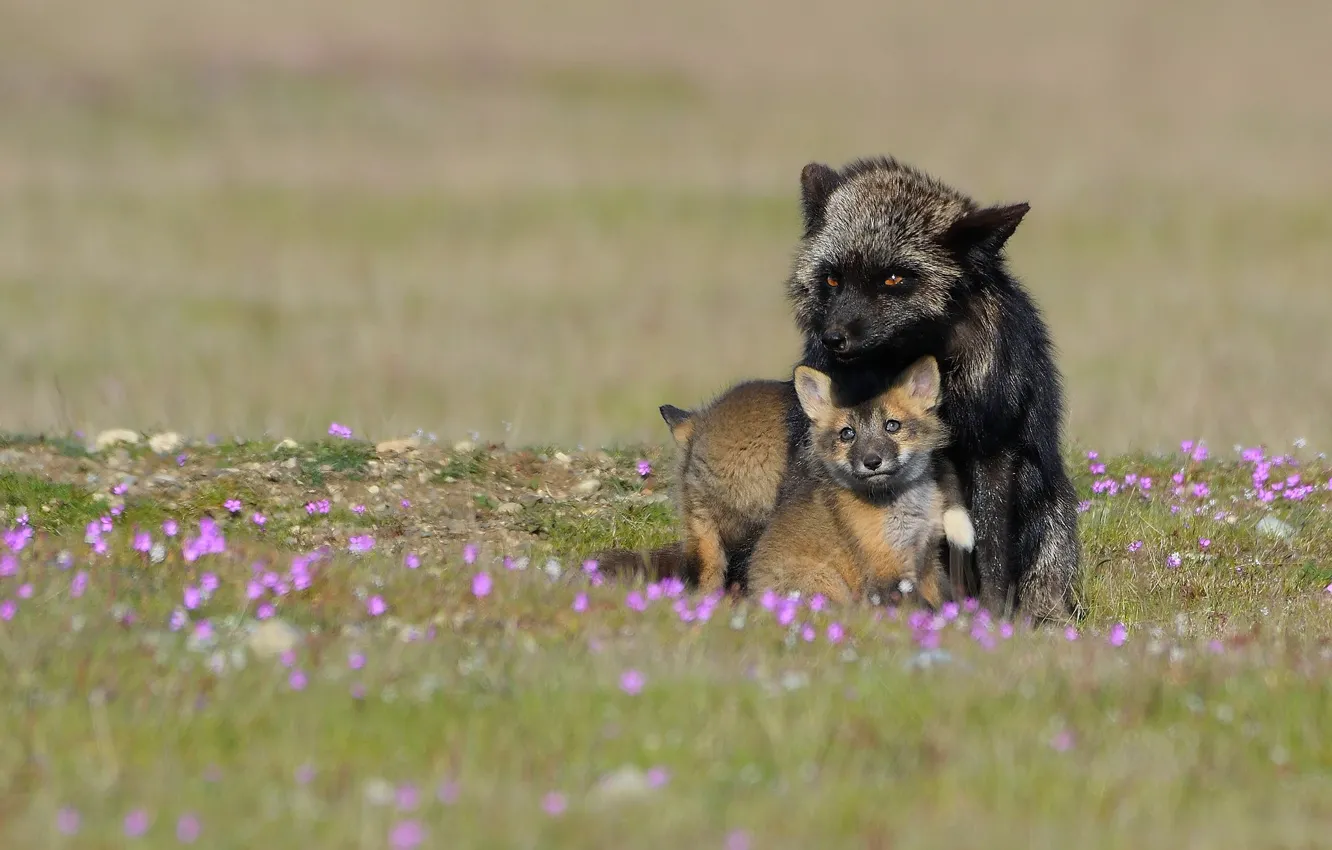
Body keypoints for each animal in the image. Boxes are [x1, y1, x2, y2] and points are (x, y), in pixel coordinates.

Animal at [747, 357, 974, 608]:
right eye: (847, 434)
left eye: (892, 425)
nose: (872, 462)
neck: (904, 512)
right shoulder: (886, 567)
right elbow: (921, 609)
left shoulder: (926, 558)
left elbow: (941, 602)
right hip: (828, 584)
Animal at [785, 156, 1081, 622]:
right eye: (832, 280)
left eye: (894, 278)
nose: (834, 339)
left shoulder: (993, 447)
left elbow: (991, 547)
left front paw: (991, 617)